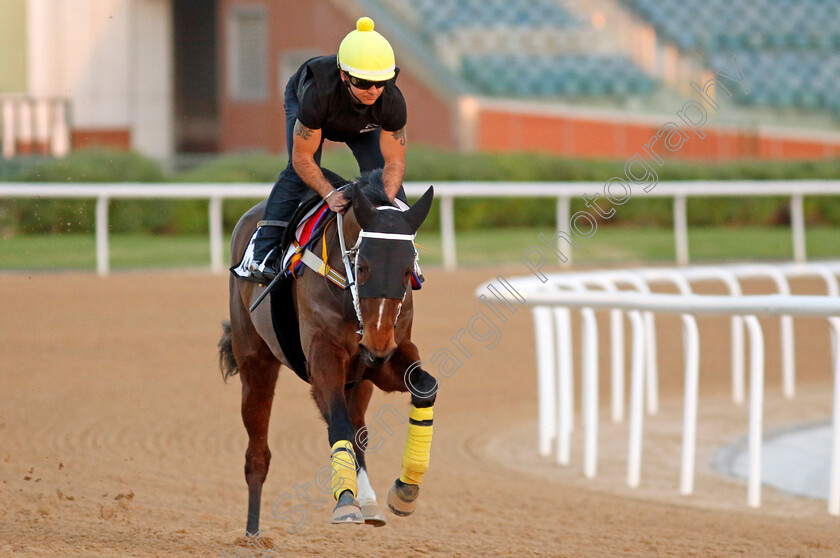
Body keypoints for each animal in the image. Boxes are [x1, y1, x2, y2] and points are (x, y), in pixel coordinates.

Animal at [217, 172, 440, 540]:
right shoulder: (324, 357)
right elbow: (338, 422)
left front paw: (405, 490)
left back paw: (368, 500)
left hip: (358, 381)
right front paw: (346, 500)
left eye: (408, 267)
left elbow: (425, 387)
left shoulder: (386, 357)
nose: (377, 342)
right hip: (255, 361)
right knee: (258, 453)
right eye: (363, 266)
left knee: (358, 429)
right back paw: (252, 533)